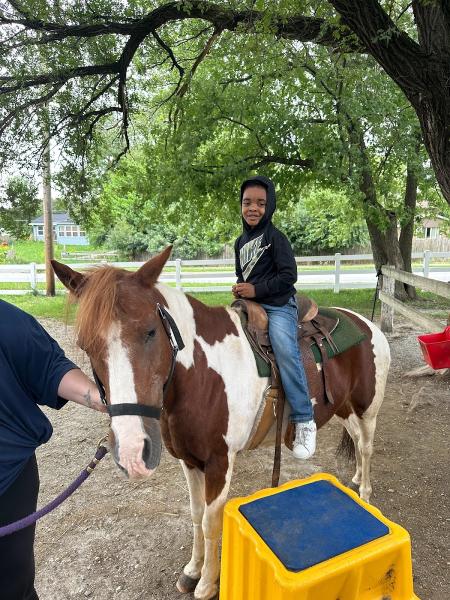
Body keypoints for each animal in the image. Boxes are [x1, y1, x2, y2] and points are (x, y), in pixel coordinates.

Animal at [51, 247, 390, 600]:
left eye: (150, 331)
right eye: (86, 344)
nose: (133, 450)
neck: (202, 373)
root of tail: (367, 324)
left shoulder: (219, 462)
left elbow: (211, 522)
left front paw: (207, 583)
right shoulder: (189, 460)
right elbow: (196, 514)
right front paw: (191, 571)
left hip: (367, 408)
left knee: (366, 446)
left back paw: (365, 496)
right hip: (344, 407)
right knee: (355, 439)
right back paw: (354, 480)